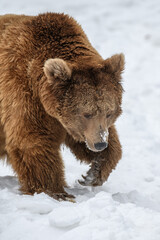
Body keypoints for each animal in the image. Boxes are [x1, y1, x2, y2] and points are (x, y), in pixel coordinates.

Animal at [0, 13, 124, 201]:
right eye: (86, 113)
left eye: (109, 112)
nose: (100, 144)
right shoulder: (24, 97)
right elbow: (33, 141)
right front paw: (56, 191)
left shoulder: (67, 123)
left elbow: (94, 141)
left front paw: (93, 173)